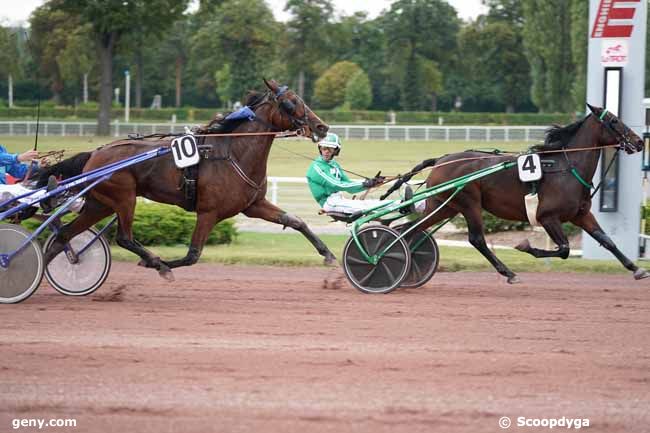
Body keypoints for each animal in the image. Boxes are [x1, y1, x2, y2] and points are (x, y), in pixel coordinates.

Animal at [40, 79, 334, 278]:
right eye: (290, 102)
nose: (322, 126)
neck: (233, 153)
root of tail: (95, 154)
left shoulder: (253, 205)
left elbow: (295, 221)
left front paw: (328, 254)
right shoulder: (208, 212)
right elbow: (193, 254)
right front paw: (160, 265)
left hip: (99, 204)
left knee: (64, 235)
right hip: (123, 197)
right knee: (124, 238)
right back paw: (155, 262)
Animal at [388, 104, 644, 284]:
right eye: (614, 120)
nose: (639, 141)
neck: (567, 167)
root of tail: (441, 160)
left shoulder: (580, 215)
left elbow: (607, 241)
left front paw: (637, 268)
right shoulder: (547, 217)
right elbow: (563, 249)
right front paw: (525, 246)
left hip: (444, 206)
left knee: (408, 230)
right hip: (469, 203)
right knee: (476, 239)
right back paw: (509, 272)